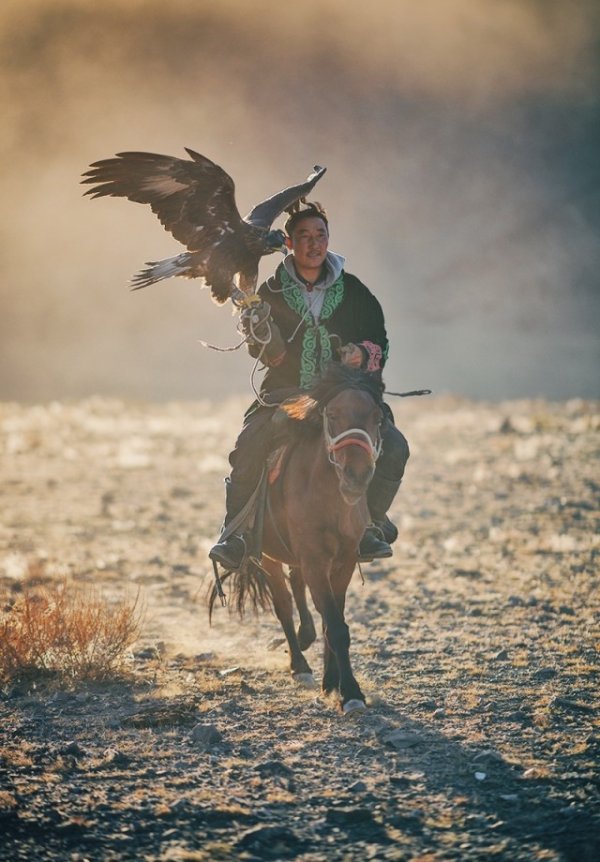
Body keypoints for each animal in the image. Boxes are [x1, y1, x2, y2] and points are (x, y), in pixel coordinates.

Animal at [211, 364, 382, 716]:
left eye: (377, 417)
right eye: (333, 414)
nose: (356, 476)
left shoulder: (343, 561)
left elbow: (334, 621)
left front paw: (333, 682)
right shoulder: (315, 559)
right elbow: (334, 625)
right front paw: (350, 693)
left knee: (298, 587)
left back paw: (306, 639)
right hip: (269, 556)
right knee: (284, 604)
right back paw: (299, 664)